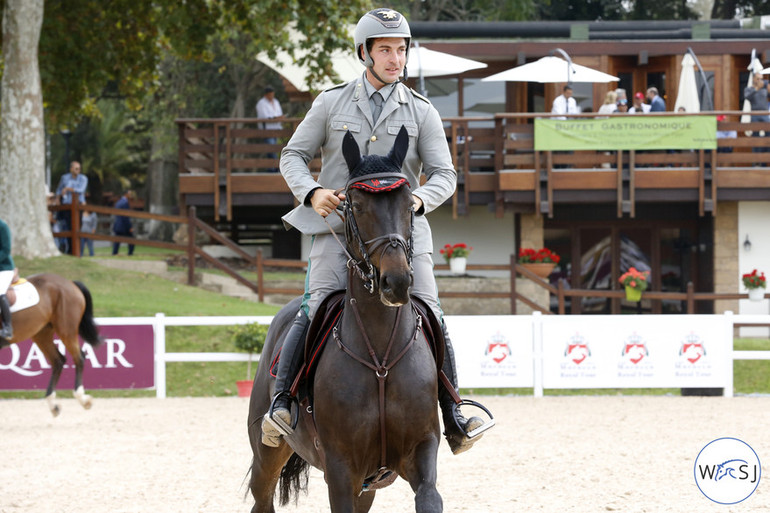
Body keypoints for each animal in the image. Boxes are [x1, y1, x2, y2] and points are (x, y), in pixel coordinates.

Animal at [1, 272, 102, 416]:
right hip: (41, 333)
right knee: (58, 360)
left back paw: (82, 399)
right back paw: (53, 404)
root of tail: (69, 282)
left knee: (79, 358)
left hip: (66, 329)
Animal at [246, 126, 438, 510]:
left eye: (409, 205)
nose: (396, 282)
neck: (381, 361)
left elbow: (430, 498)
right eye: (357, 206)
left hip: (369, 485)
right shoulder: (340, 468)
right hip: (266, 456)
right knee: (262, 498)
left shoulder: (420, 451)